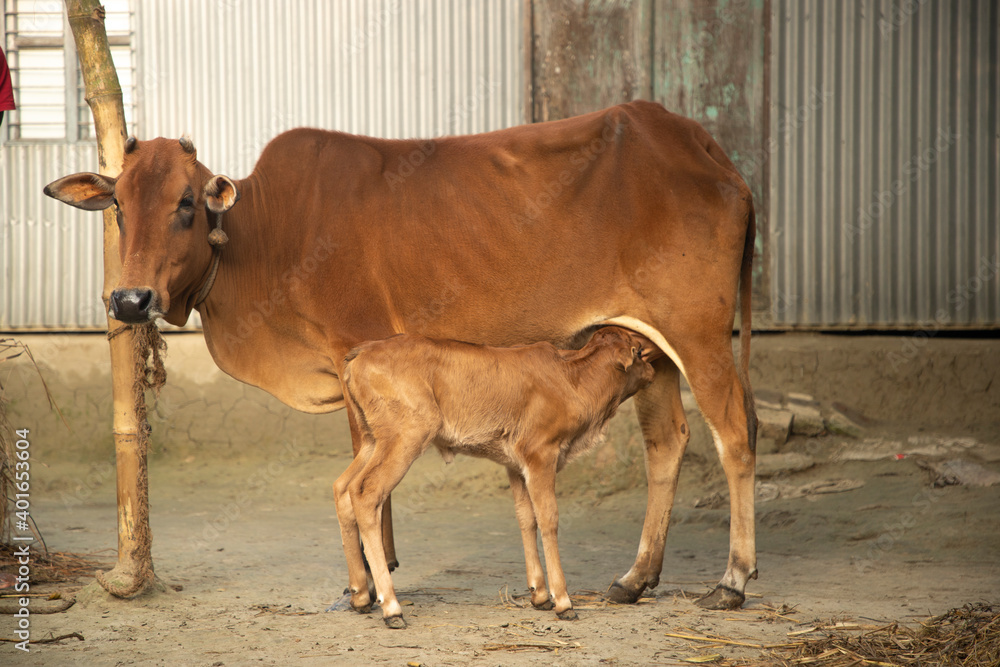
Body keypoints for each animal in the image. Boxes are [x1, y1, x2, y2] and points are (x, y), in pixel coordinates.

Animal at [334, 328, 656, 632]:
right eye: (639, 351)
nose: (653, 371)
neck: (572, 379)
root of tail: (363, 350)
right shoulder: (541, 455)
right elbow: (548, 518)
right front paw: (563, 602)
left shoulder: (516, 465)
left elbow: (526, 518)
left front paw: (540, 595)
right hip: (406, 437)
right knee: (366, 493)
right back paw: (392, 609)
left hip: (371, 441)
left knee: (343, 488)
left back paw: (360, 596)